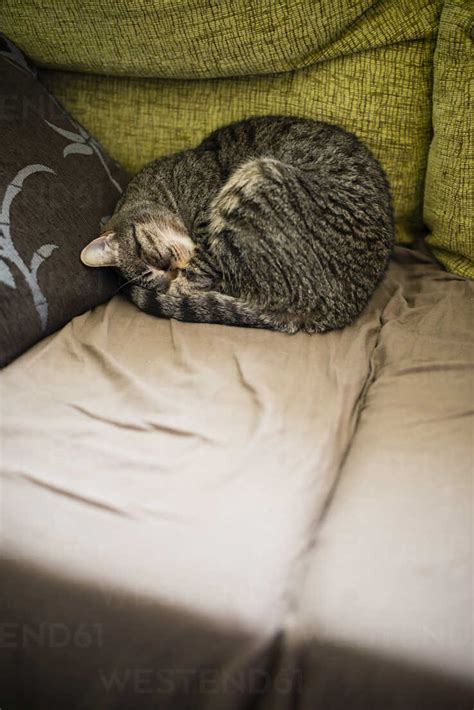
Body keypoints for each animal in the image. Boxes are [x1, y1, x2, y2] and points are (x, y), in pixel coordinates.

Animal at [80, 117, 392, 336]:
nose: (172, 271)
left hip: (256, 176)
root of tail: (339, 310)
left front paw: (180, 283)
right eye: (154, 276)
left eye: (149, 254)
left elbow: (193, 274)